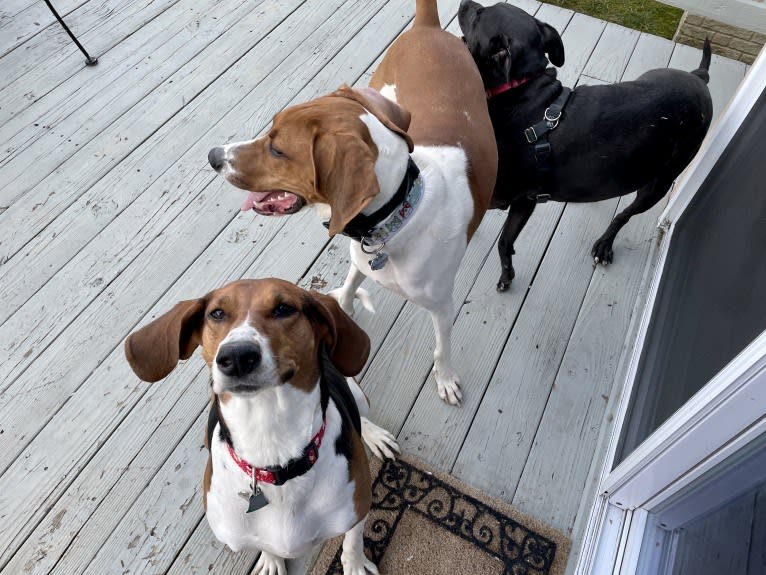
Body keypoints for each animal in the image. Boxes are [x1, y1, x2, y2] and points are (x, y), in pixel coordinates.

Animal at [124, 278, 402, 572]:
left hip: (356, 391)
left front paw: (356, 565)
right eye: (217, 313)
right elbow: (264, 545)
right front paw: (271, 561)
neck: (270, 439)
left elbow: (352, 541)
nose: (236, 356)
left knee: (362, 414)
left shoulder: (359, 507)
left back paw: (375, 435)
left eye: (283, 309)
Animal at [208, 0, 498, 408]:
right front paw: (341, 307)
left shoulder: (442, 306)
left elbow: (442, 348)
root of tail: (428, 26)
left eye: (278, 149)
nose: (213, 156)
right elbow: (347, 288)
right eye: (270, 128)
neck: (395, 220)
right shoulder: (360, 262)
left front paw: (445, 378)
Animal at [456, 0, 712, 292]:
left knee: (624, 214)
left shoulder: (502, 196)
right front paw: (507, 273)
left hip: (658, 184)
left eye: (479, 15)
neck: (522, 93)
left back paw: (605, 244)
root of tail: (699, 77)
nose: (463, 3)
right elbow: (505, 240)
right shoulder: (525, 200)